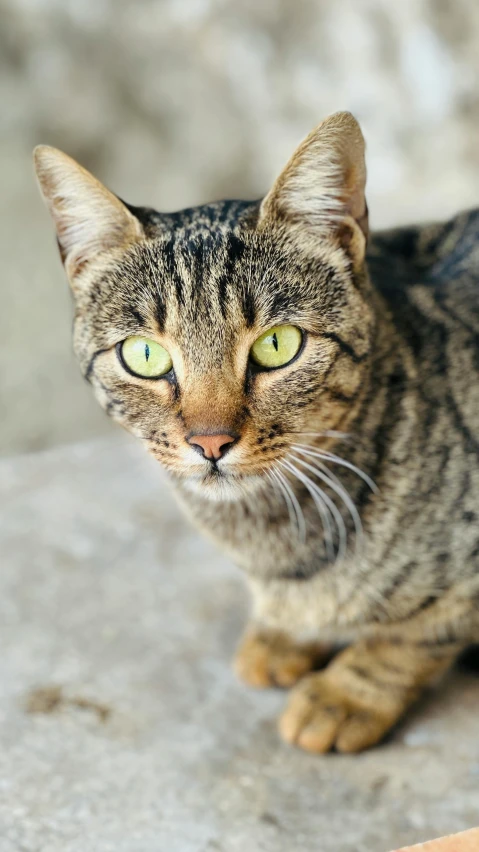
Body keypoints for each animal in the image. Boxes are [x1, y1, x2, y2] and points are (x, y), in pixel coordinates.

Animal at [35, 111, 479, 752]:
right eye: (144, 355)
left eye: (277, 344)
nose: (210, 442)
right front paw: (283, 634)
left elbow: (411, 634)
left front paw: (345, 694)